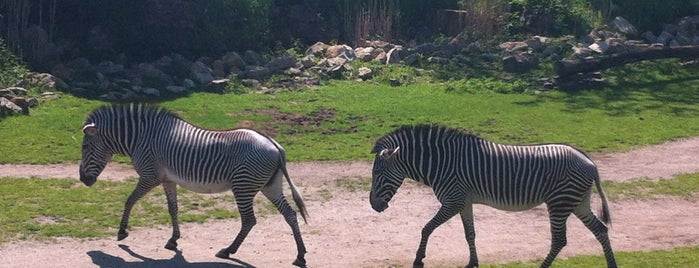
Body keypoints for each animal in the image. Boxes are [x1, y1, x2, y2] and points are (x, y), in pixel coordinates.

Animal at [76, 103, 308, 266]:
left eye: (85, 146)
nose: (83, 180)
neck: (140, 138)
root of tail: (275, 146)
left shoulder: (150, 176)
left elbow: (129, 200)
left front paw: (122, 232)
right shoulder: (168, 179)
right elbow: (173, 208)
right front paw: (173, 240)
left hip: (243, 186)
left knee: (249, 220)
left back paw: (227, 251)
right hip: (270, 186)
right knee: (290, 214)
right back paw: (300, 255)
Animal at [370, 125, 616, 268]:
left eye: (377, 174)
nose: (373, 206)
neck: (441, 163)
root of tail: (589, 161)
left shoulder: (453, 200)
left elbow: (427, 228)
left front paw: (418, 259)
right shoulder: (464, 202)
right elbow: (470, 234)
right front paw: (472, 263)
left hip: (559, 203)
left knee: (559, 240)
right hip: (578, 203)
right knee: (600, 230)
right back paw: (612, 264)